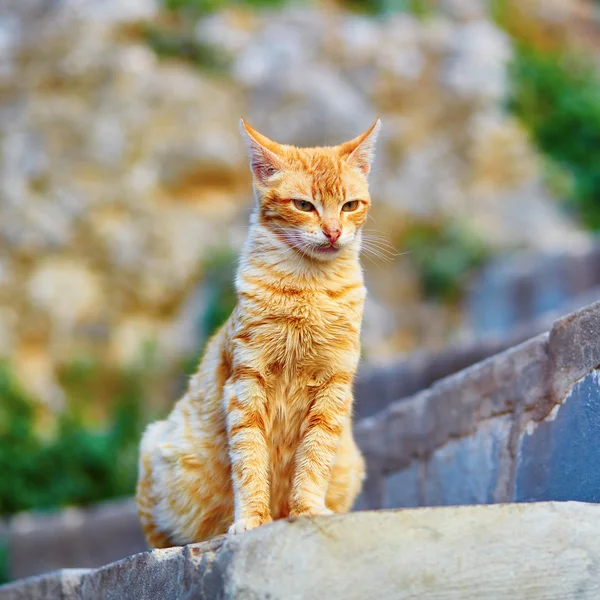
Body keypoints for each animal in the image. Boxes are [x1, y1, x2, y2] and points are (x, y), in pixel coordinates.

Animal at [135, 117, 380, 548]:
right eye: (304, 205)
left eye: (350, 205)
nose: (333, 232)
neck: (308, 292)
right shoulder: (247, 384)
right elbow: (250, 460)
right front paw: (251, 519)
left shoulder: (333, 388)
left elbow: (314, 457)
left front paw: (307, 509)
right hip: (154, 450)